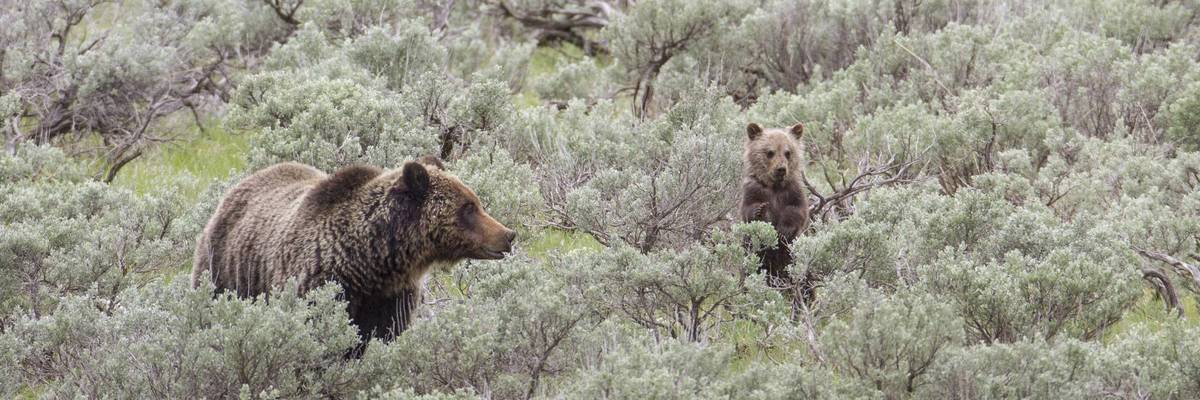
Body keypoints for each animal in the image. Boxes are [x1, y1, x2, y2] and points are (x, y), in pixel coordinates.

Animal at [192, 156, 516, 343]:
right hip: (224, 271)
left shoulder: (391, 297)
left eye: (476, 202)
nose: (508, 235)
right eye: (469, 207)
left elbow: (384, 335)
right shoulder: (321, 282)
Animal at [739, 122, 814, 303]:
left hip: (797, 262)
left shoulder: (793, 192)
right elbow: (748, 210)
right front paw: (760, 211)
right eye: (770, 152)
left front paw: (783, 230)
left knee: (806, 283)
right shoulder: (754, 189)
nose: (781, 169)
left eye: (788, 152)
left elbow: (797, 212)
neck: (775, 187)